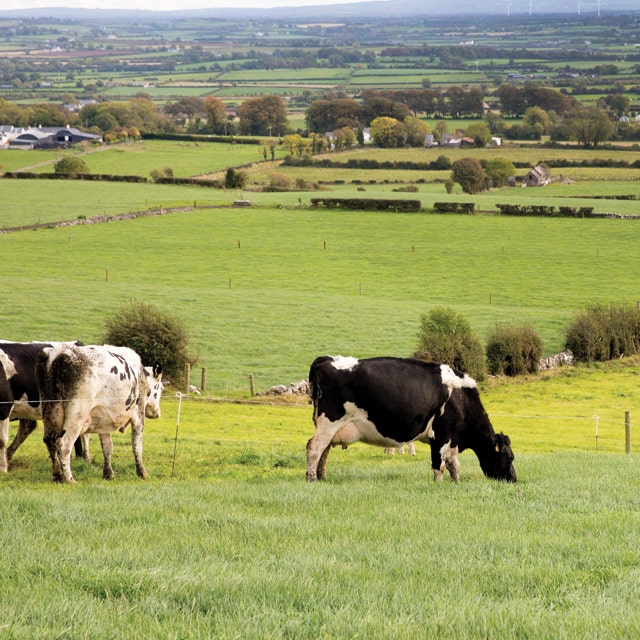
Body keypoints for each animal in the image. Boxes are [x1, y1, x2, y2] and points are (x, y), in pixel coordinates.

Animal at [36, 344, 164, 484]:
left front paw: (108, 473)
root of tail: (60, 353)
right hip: (76, 416)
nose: (157, 413)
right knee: (64, 445)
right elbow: (137, 445)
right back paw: (69, 479)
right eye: (161, 388)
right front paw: (142, 473)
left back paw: (58, 475)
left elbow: (107, 447)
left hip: (51, 413)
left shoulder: (103, 418)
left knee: (50, 441)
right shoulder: (138, 413)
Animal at [304, 352, 516, 482]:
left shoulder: (451, 439)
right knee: (314, 447)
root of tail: (326, 359)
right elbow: (439, 466)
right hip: (329, 421)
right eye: (508, 458)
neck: (461, 398)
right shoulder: (440, 435)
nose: (514, 480)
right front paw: (439, 485)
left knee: (324, 450)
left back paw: (322, 477)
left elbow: (454, 465)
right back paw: (312, 479)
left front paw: (456, 483)